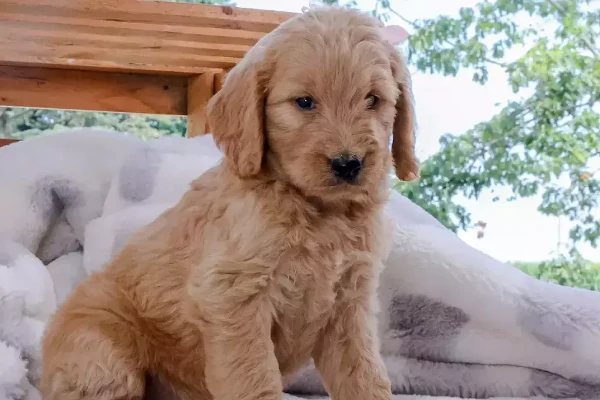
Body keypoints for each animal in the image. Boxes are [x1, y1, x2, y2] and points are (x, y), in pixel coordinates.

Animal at [41, 7, 418, 400]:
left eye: (372, 99)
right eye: (304, 102)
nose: (348, 164)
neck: (318, 212)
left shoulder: (350, 307)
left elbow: (365, 375)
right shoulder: (234, 298)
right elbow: (254, 380)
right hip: (102, 352)